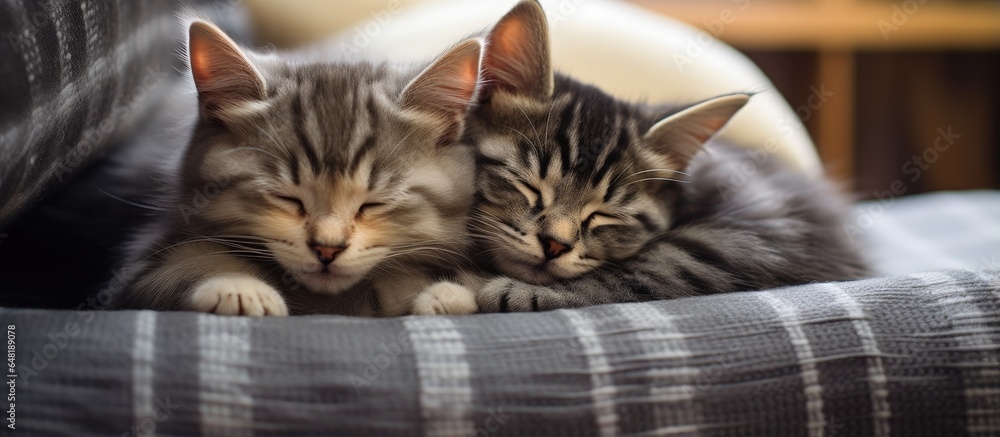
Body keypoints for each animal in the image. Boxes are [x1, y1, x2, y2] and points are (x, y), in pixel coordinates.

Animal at [117, 20, 484, 316]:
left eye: (373, 204)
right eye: (288, 199)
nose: (327, 249)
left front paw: (442, 295)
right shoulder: (145, 260)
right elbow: (187, 264)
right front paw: (237, 287)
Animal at [466, 1, 868, 312]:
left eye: (605, 214)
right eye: (529, 185)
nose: (555, 245)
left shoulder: (758, 228)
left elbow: (657, 265)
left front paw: (523, 292)